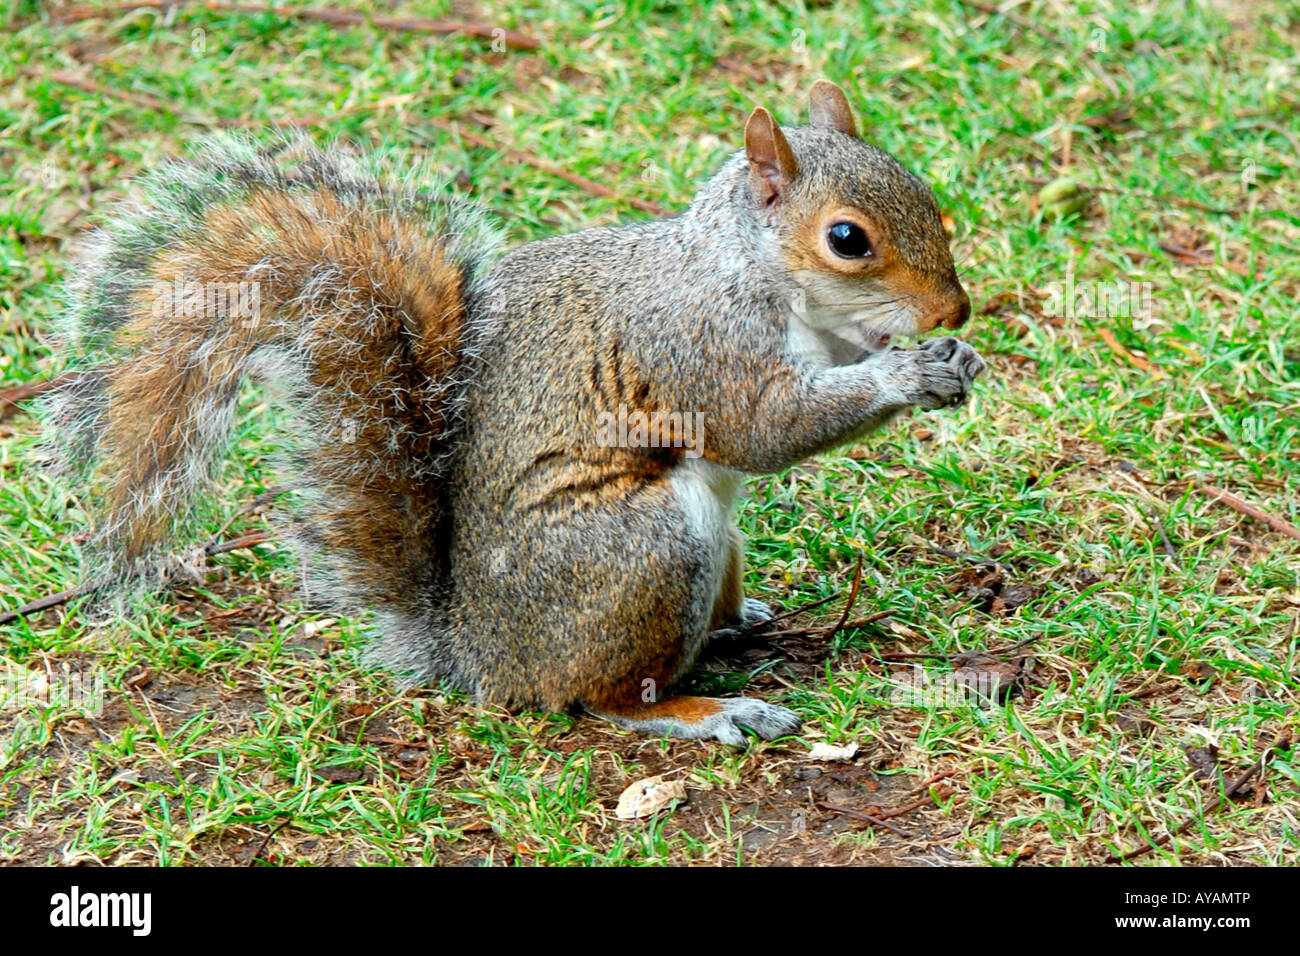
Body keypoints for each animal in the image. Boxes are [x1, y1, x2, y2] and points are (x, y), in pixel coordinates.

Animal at [50, 80, 982, 749]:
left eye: (924, 191)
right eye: (847, 239)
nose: (956, 312)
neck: (751, 273)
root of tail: (475, 653)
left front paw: (952, 362)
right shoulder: (695, 341)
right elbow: (764, 429)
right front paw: (908, 373)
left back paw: (735, 623)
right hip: (643, 546)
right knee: (599, 695)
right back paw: (705, 711)